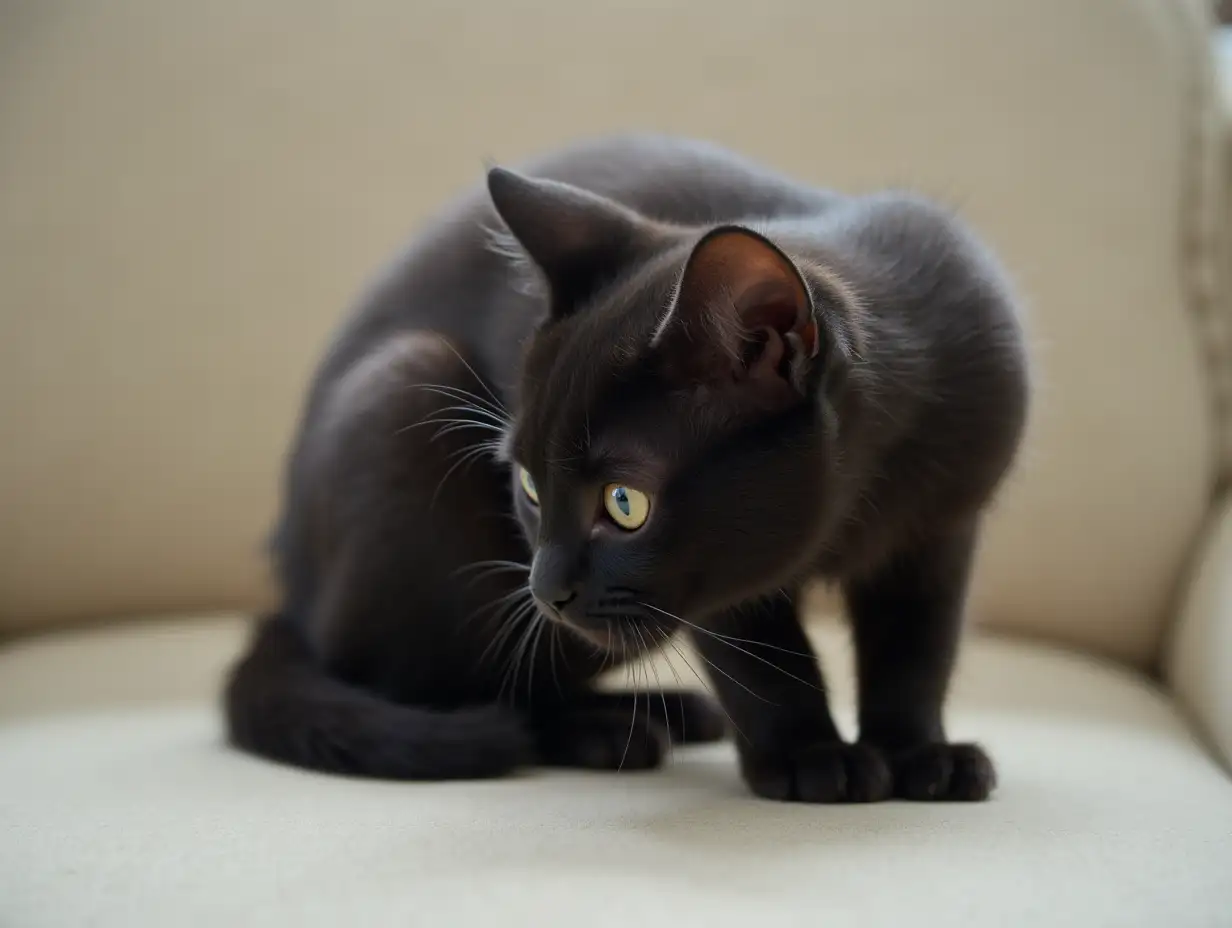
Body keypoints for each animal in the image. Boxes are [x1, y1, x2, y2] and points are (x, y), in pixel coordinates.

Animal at [224, 133, 1029, 798]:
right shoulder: (719, 577)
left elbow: (917, 646)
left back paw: (665, 713)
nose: (543, 589)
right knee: (430, 683)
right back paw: (603, 730)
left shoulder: (942, 528)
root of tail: (288, 592)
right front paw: (809, 759)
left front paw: (920, 756)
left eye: (623, 503)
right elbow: (764, 661)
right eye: (527, 487)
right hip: (406, 381)